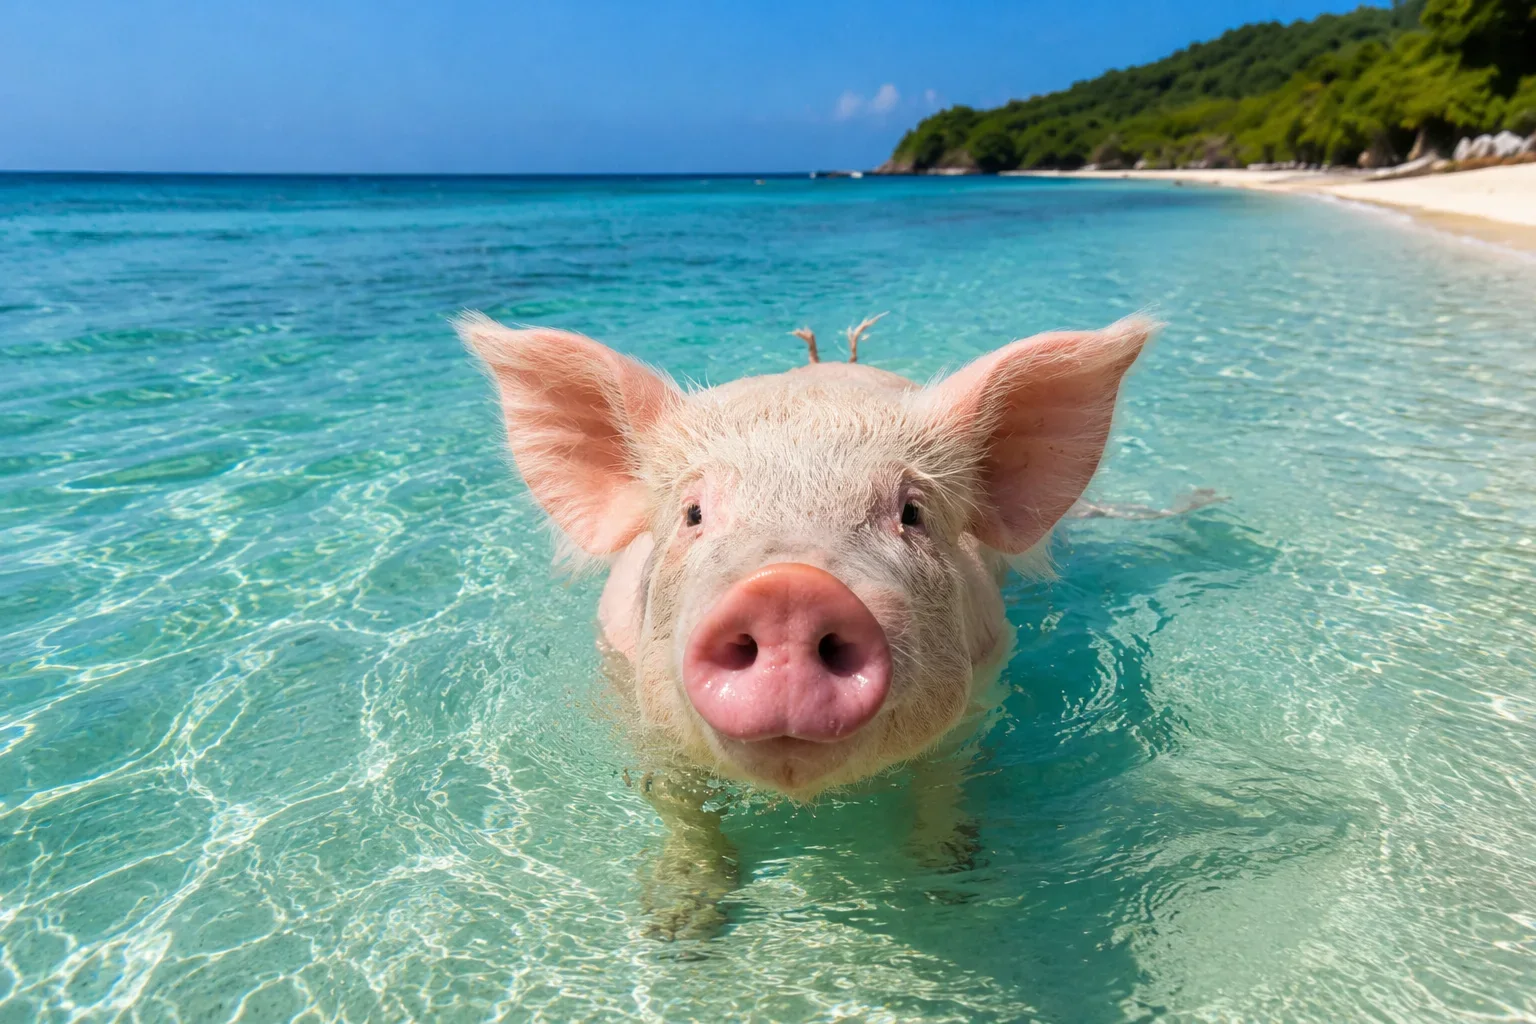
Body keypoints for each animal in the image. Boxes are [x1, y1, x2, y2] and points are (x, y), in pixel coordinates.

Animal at [458, 311, 1157, 937]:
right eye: (692, 513)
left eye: (912, 513)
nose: (788, 589)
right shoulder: (633, 705)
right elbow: (678, 803)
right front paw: (677, 928)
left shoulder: (983, 694)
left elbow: (945, 781)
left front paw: (951, 882)